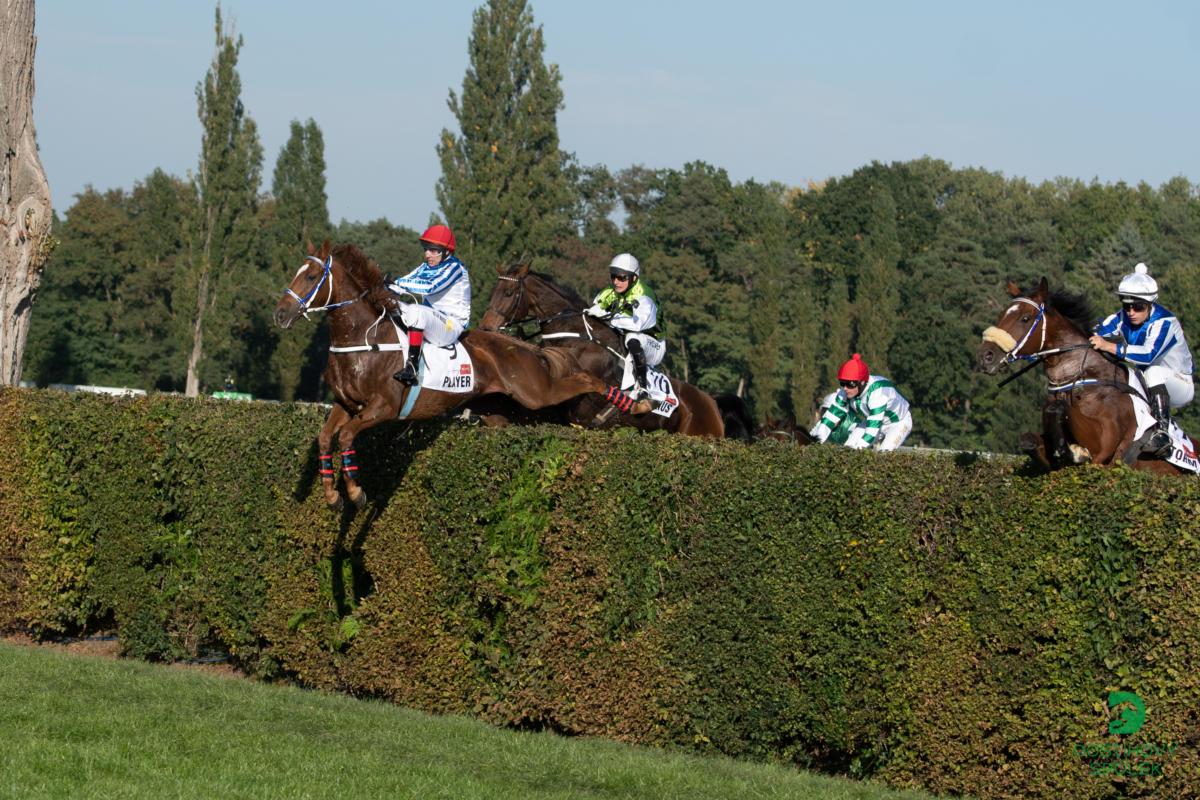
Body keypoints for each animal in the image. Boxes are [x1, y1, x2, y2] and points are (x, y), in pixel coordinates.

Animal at [277, 241, 614, 510]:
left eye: (310, 276)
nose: (280, 313)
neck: (364, 340)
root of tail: (517, 344)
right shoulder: (346, 404)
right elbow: (324, 438)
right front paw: (333, 496)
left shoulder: (384, 407)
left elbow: (347, 436)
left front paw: (356, 492)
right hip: (497, 412)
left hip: (535, 392)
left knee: (586, 380)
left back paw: (617, 400)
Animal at [979, 278, 1185, 474]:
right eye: (1001, 315)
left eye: (1025, 318)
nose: (985, 356)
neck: (1080, 378)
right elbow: (1029, 440)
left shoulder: (1105, 440)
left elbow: (1058, 408)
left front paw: (1076, 452)